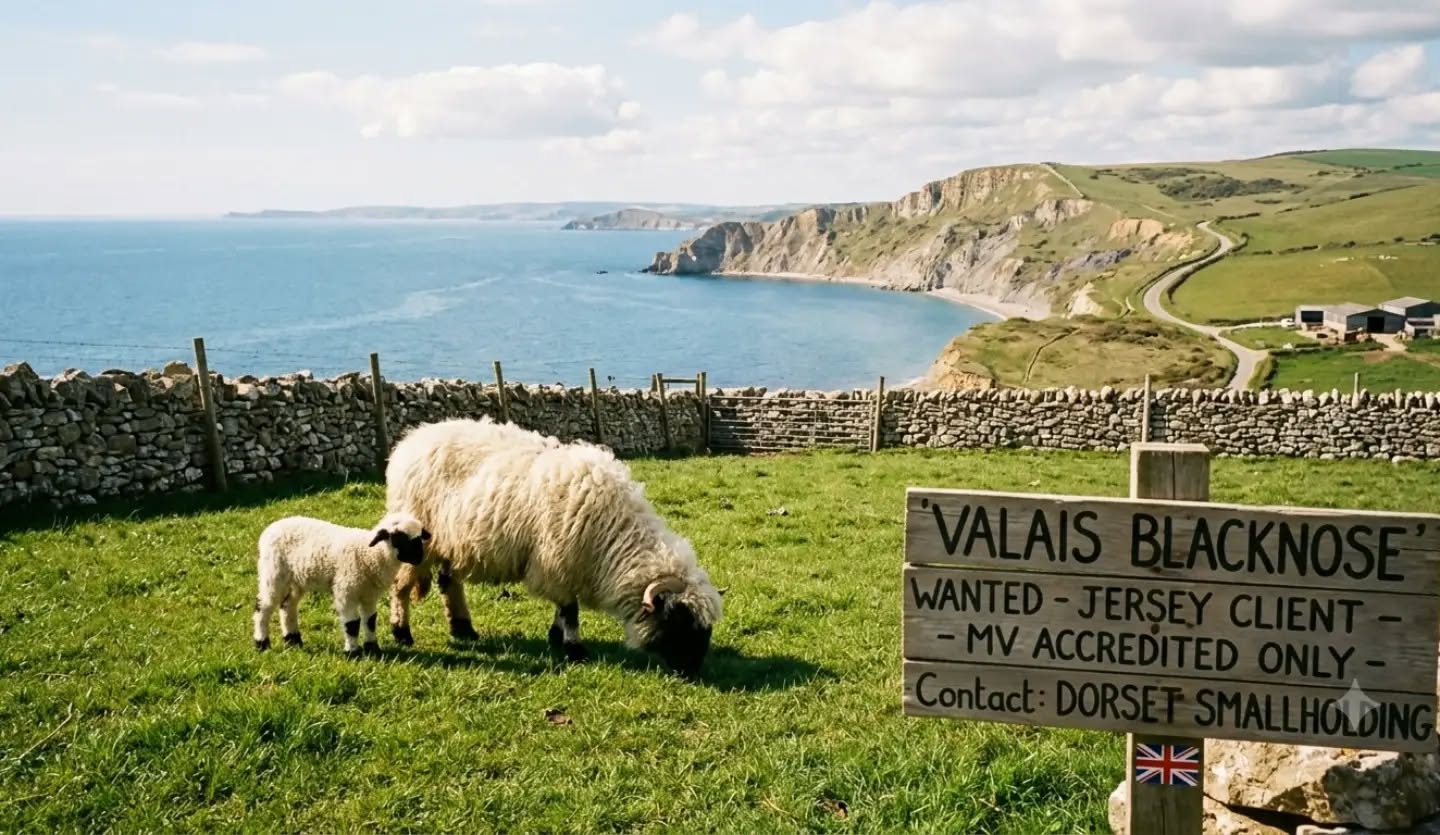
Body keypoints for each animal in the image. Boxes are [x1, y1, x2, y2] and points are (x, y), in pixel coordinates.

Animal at [253, 511, 431, 657]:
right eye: (398, 538)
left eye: (419, 538)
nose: (418, 559)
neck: (370, 554)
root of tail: (271, 527)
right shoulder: (346, 591)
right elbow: (352, 624)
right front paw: (352, 653)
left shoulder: (369, 595)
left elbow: (370, 620)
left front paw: (373, 649)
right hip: (273, 573)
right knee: (263, 607)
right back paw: (262, 643)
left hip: (296, 580)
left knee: (287, 606)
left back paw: (293, 640)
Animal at [384, 417, 724, 677]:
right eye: (678, 621)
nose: (692, 671)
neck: (614, 535)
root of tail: (411, 439)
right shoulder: (556, 562)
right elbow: (570, 610)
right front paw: (575, 649)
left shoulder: (564, 566)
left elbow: (563, 609)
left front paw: (556, 637)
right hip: (417, 544)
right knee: (401, 586)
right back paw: (402, 632)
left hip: (452, 543)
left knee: (450, 584)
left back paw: (463, 628)